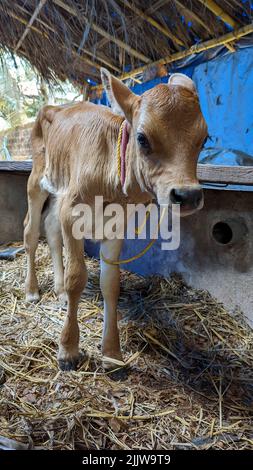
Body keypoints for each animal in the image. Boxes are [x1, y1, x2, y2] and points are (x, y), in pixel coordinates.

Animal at [23, 68, 208, 372]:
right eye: (142, 138)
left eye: (204, 139)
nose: (188, 195)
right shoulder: (72, 212)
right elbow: (77, 277)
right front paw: (68, 349)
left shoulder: (116, 225)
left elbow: (110, 284)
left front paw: (111, 352)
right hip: (37, 179)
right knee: (30, 230)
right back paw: (32, 291)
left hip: (60, 191)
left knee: (50, 228)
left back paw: (59, 292)